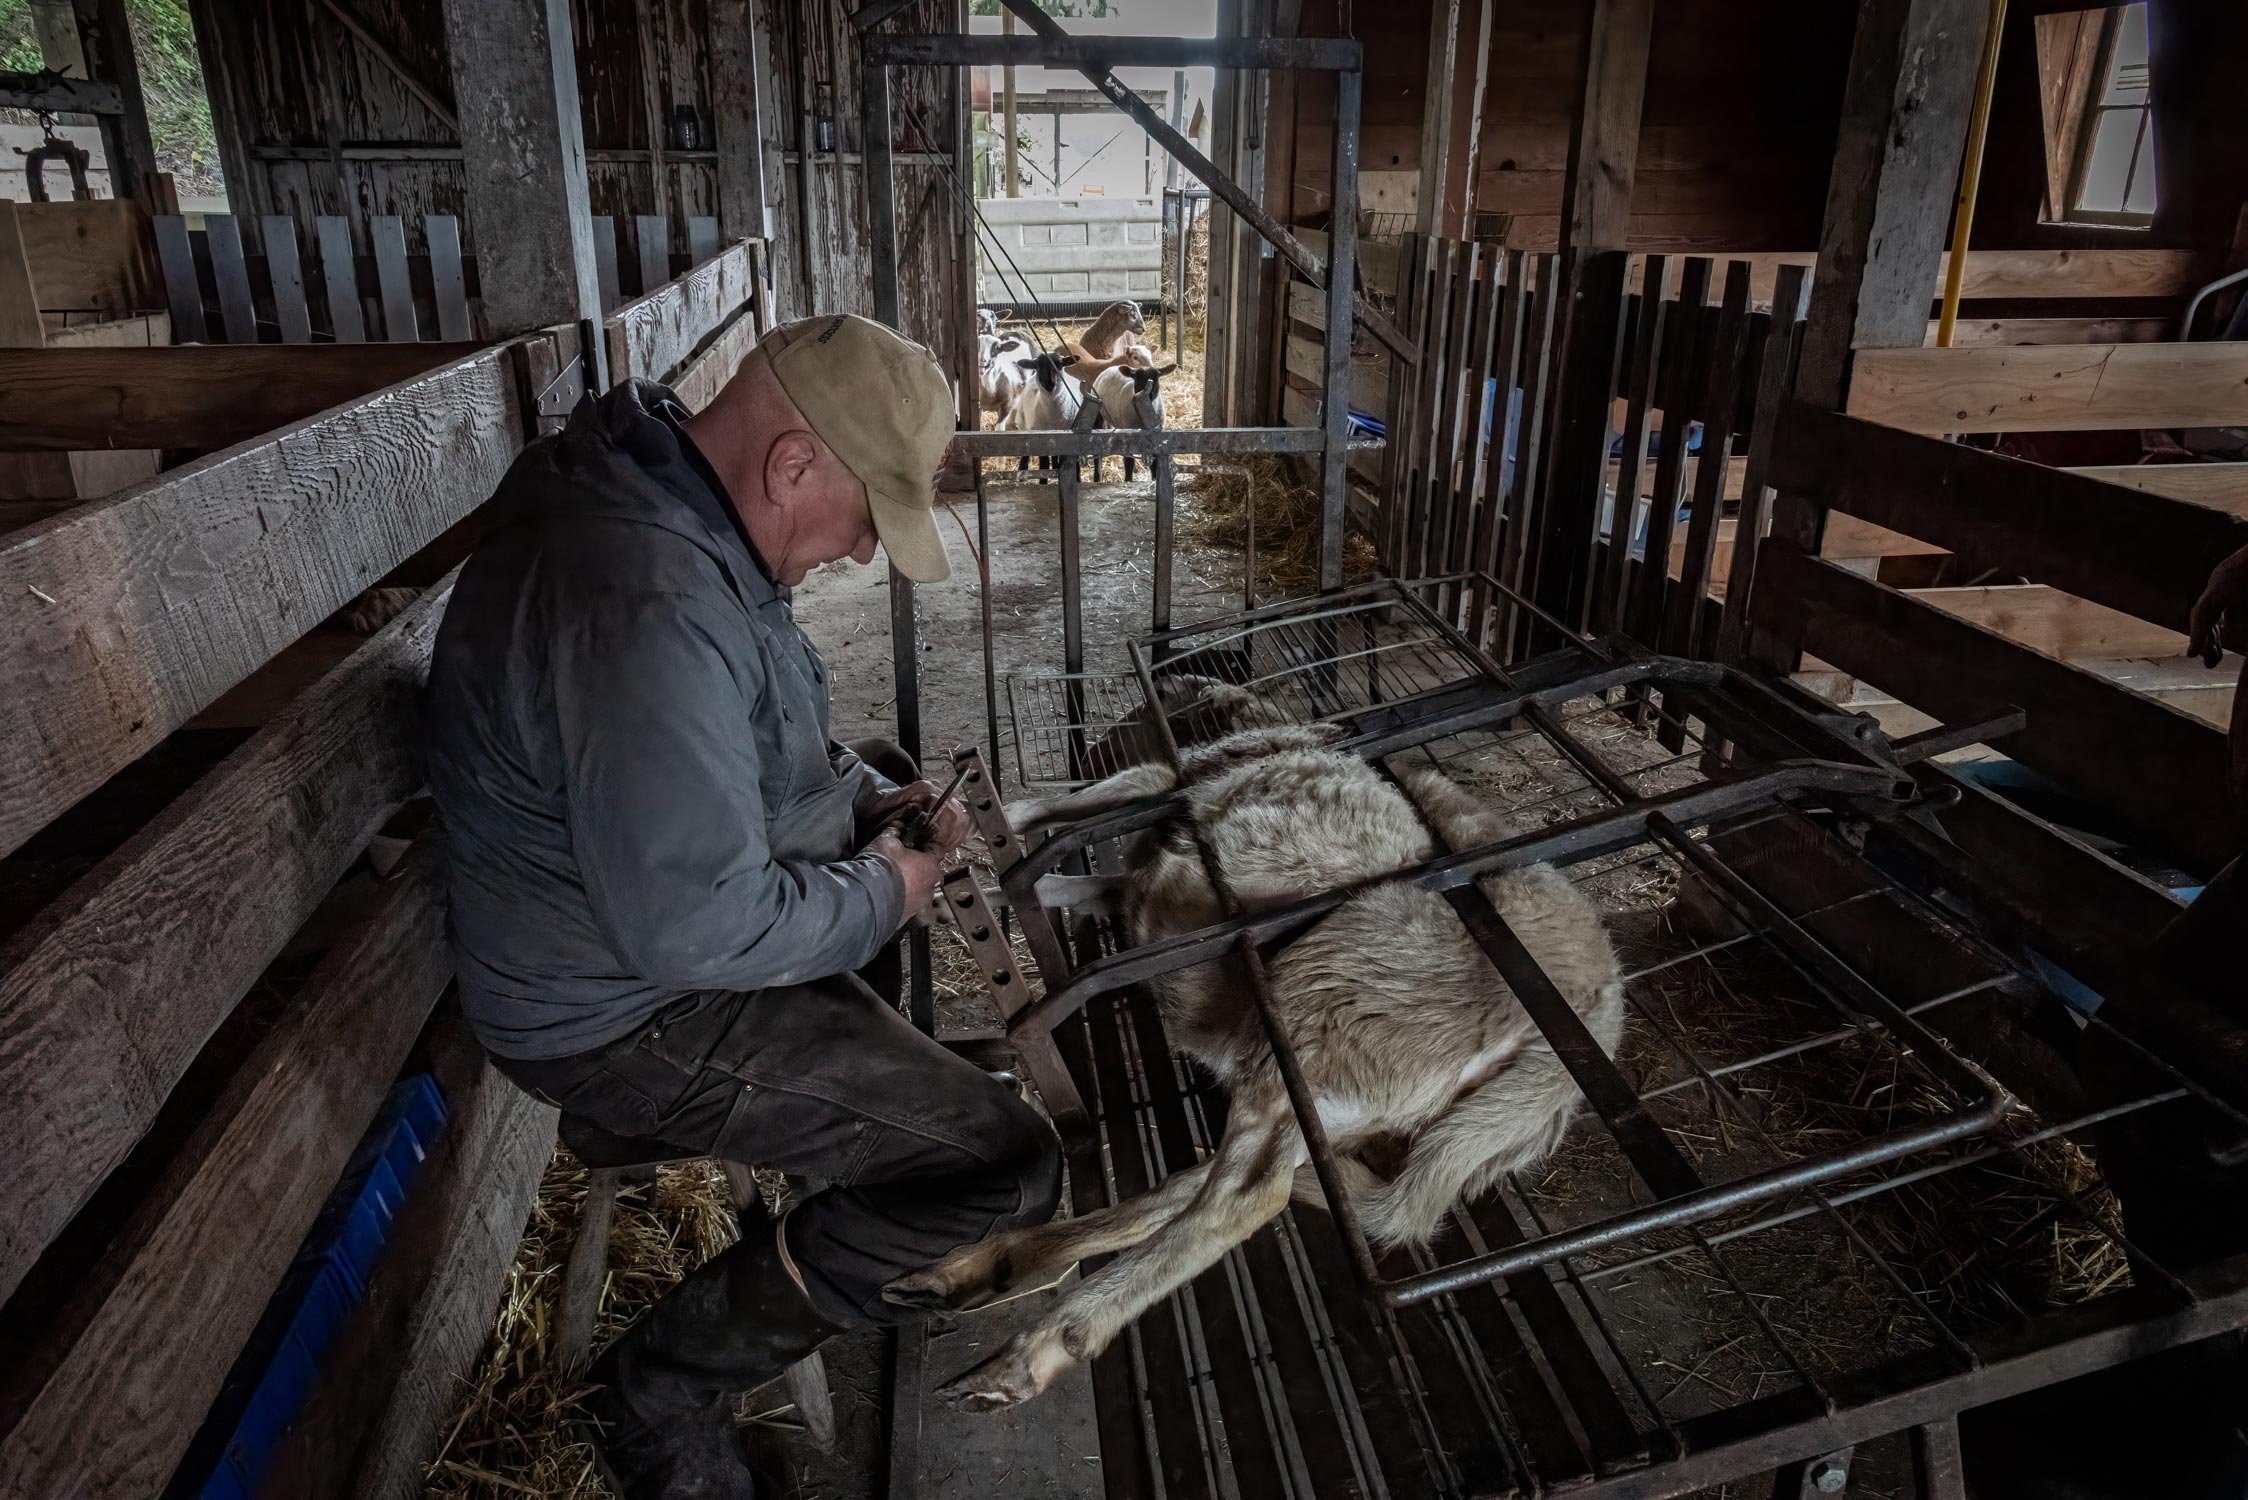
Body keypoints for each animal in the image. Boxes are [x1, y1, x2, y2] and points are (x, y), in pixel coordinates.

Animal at [885, 715, 1627, 1412]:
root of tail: (1595, 1006)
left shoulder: (1156, 781)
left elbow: (1048, 810)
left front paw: (960, 869)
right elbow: (1071, 880)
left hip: (1321, 1009)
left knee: (1245, 1195)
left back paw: (1035, 1349)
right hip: (1352, 1089)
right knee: (1209, 1182)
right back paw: (986, 1268)